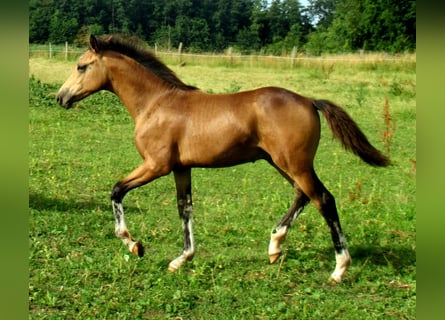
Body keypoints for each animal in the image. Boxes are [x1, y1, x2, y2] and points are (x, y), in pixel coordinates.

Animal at [56, 35, 388, 282]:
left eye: (81, 66)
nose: (61, 97)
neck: (156, 103)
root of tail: (309, 100)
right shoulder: (181, 168)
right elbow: (185, 209)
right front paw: (181, 259)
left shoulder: (156, 165)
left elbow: (117, 191)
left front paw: (134, 244)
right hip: (282, 163)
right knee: (303, 195)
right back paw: (275, 246)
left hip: (294, 163)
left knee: (324, 199)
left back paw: (339, 268)